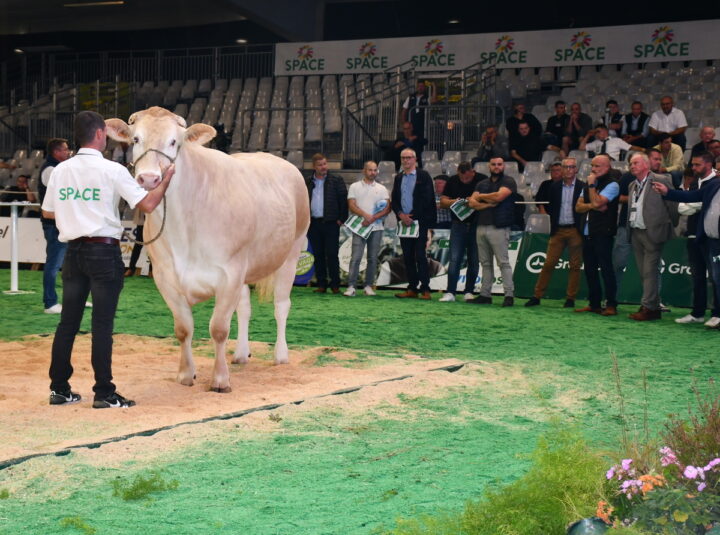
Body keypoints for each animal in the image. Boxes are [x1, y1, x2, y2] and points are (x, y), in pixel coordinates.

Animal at [106, 106, 310, 392]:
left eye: (174, 141)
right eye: (135, 139)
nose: (149, 178)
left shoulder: (229, 274)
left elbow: (219, 329)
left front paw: (220, 380)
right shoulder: (166, 278)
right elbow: (183, 329)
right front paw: (185, 374)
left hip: (291, 252)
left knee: (281, 305)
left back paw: (281, 355)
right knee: (244, 308)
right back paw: (241, 354)